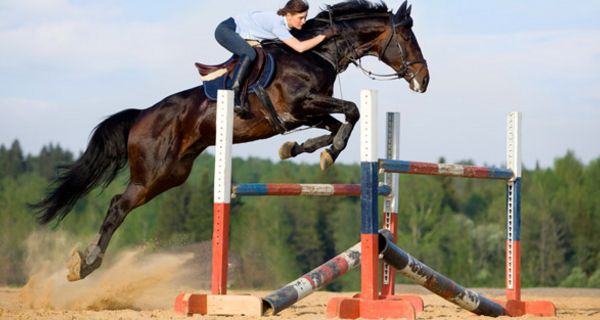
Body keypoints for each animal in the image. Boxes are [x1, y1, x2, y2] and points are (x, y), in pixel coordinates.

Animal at [31, 0, 426, 282]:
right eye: (407, 39)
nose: (424, 81)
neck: (314, 52)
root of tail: (142, 114)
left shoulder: (306, 113)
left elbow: (336, 124)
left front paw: (301, 150)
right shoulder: (301, 106)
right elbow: (353, 111)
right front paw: (327, 154)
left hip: (173, 174)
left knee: (123, 204)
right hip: (152, 173)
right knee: (117, 206)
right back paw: (86, 264)